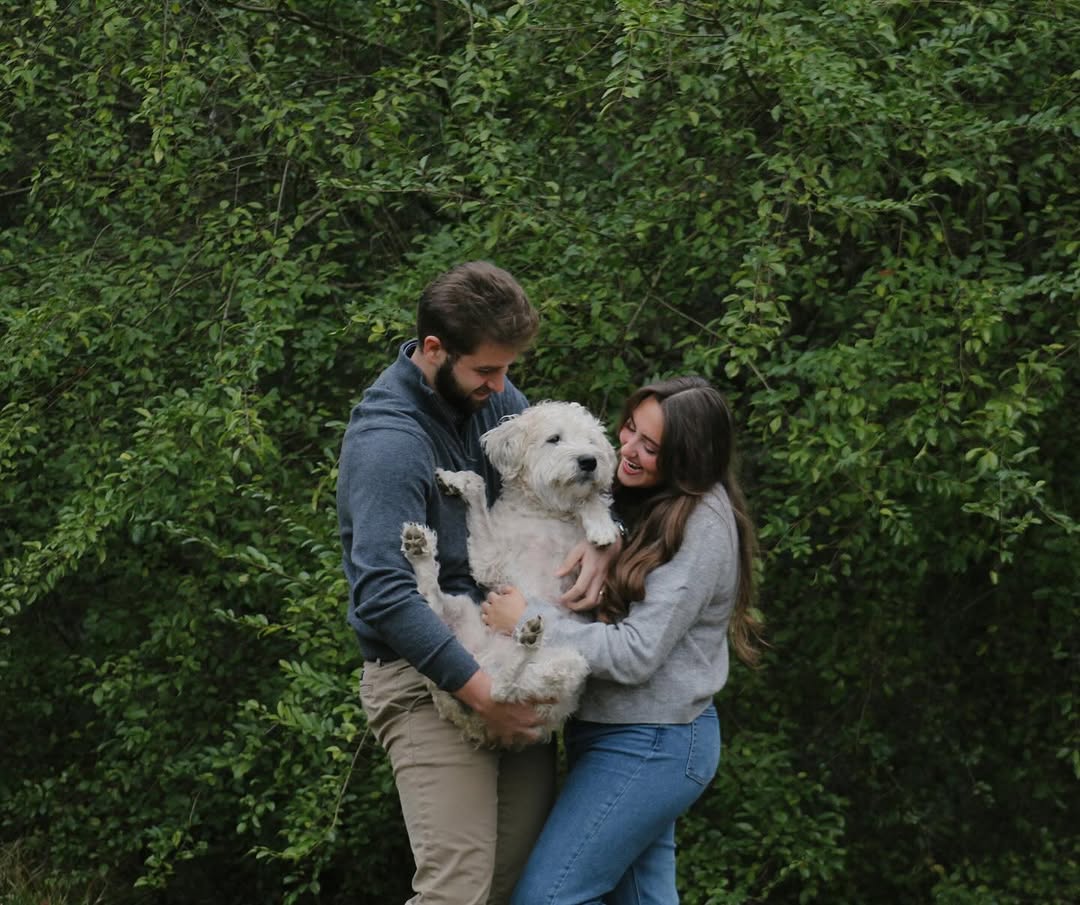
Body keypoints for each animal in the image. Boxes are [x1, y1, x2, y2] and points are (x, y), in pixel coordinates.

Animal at [401, 401, 619, 748]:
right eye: (554, 439)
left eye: (591, 441)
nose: (589, 461)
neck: (545, 513)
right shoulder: (489, 560)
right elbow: (477, 483)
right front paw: (456, 480)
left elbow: (590, 498)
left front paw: (601, 526)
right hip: (472, 622)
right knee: (498, 691)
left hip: (570, 667)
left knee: (502, 691)